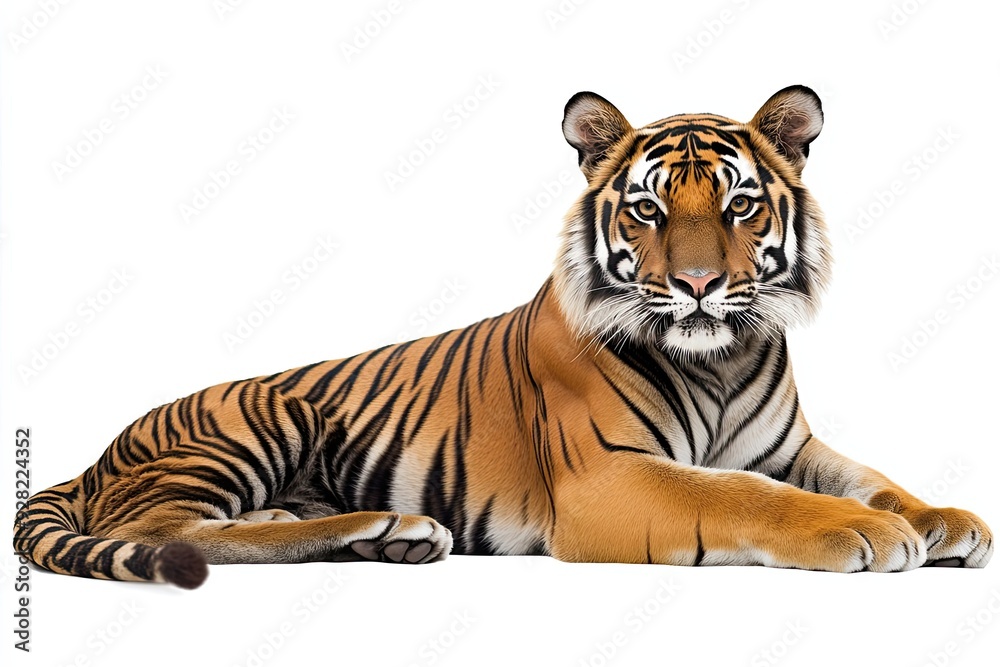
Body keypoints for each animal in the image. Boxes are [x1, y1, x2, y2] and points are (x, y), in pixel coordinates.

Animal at [14, 86, 992, 588]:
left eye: (740, 205)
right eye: (647, 209)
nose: (699, 285)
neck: (722, 356)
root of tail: (96, 456)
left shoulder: (793, 446)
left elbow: (870, 475)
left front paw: (944, 519)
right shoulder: (609, 476)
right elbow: (745, 494)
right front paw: (862, 533)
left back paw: (371, 532)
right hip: (261, 418)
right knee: (173, 530)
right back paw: (385, 525)